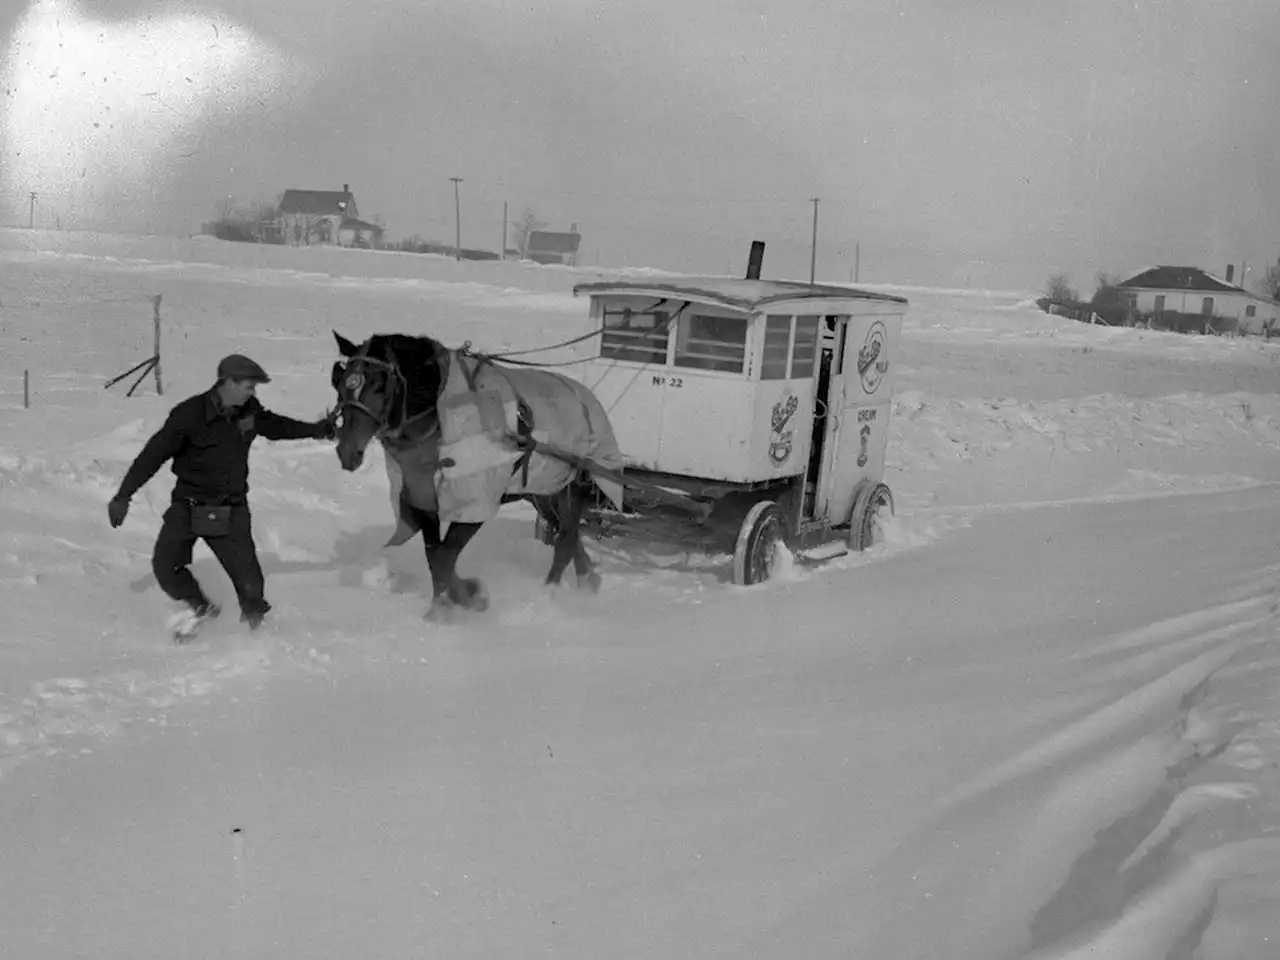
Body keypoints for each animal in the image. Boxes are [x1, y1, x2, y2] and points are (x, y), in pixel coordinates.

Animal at [330, 330, 624, 616]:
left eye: (380, 386)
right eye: (341, 383)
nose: (347, 450)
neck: (440, 418)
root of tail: (587, 397)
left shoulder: (475, 503)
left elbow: (445, 555)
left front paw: (452, 605)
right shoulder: (423, 502)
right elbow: (435, 555)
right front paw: (460, 596)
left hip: (571, 488)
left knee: (565, 540)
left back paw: (548, 594)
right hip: (542, 493)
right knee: (569, 535)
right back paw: (588, 578)